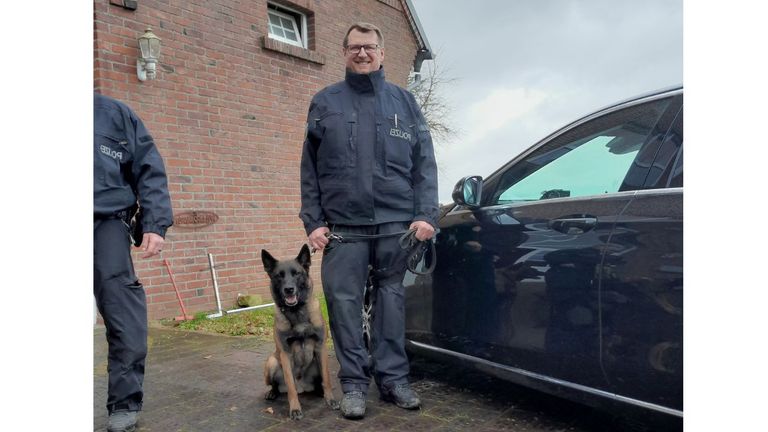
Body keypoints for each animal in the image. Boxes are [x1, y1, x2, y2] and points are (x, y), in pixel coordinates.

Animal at [260, 245, 340, 420]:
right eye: (279, 276)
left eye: (296, 273)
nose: (289, 290)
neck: (297, 313)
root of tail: (302, 387)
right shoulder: (285, 354)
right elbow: (290, 387)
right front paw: (295, 409)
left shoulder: (321, 348)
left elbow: (327, 379)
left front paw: (330, 400)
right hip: (272, 362)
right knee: (278, 385)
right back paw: (272, 393)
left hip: (316, 362)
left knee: (320, 381)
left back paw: (320, 392)